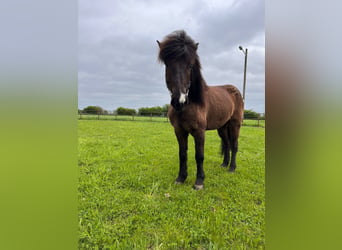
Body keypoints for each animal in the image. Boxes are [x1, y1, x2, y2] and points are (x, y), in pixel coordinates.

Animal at [156, 30, 244, 189]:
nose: (180, 101)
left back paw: (232, 168)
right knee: (227, 144)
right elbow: (182, 154)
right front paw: (181, 178)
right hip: (222, 127)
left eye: (190, 66)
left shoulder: (199, 132)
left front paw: (199, 181)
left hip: (235, 124)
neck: (191, 104)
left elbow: (199, 155)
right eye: (167, 64)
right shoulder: (179, 131)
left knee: (234, 145)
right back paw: (224, 164)